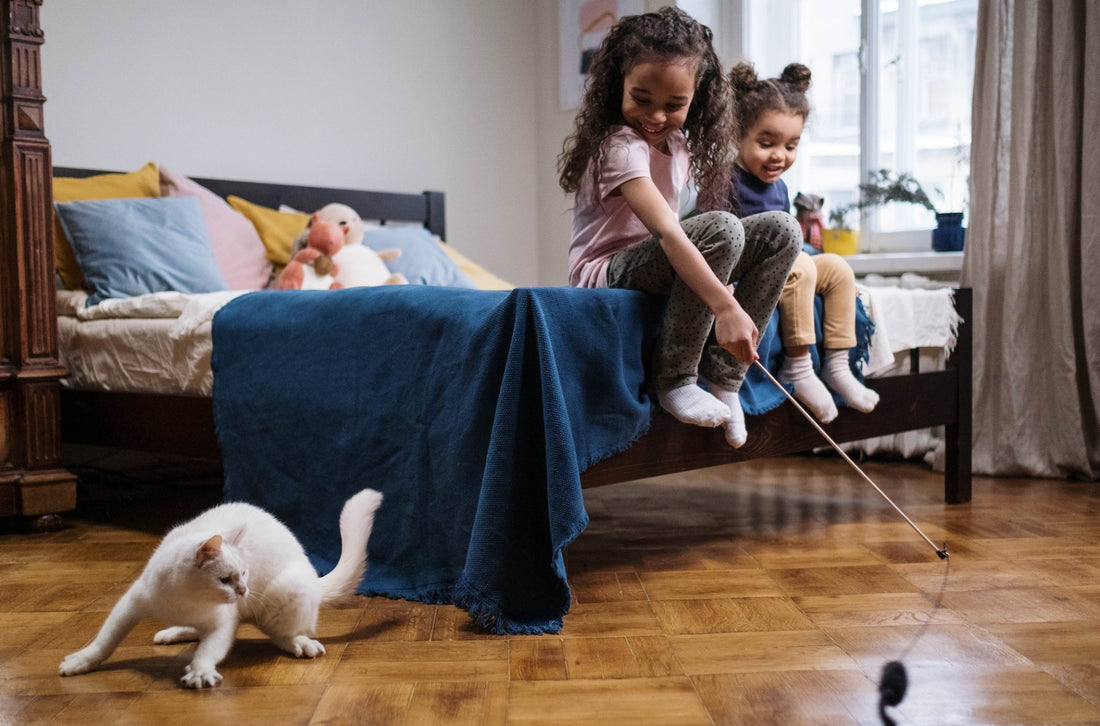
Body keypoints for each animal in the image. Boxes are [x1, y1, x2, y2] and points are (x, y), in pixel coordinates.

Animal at [58, 488, 382, 686]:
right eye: (225, 579)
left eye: (245, 573)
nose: (244, 591)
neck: (185, 602)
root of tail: (314, 579)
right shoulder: (131, 603)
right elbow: (104, 640)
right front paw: (81, 661)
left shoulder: (223, 623)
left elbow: (210, 649)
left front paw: (200, 671)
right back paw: (173, 632)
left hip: (287, 593)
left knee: (283, 633)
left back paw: (300, 644)